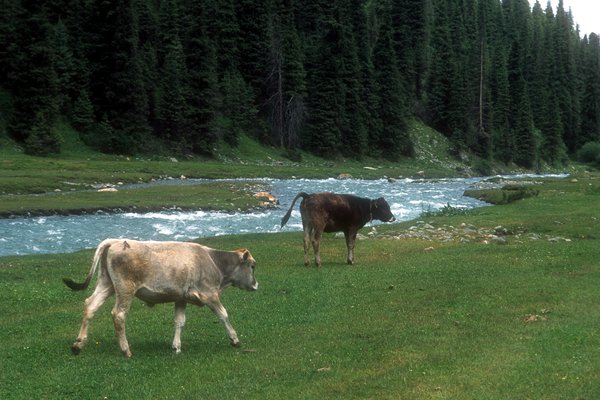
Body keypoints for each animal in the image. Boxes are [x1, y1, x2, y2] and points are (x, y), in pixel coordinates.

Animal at [63, 239, 258, 358]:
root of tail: (115, 241)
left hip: (106, 283)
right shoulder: (209, 294)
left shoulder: (181, 298)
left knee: (90, 306)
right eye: (253, 265)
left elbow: (179, 321)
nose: (256, 285)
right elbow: (223, 314)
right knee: (118, 314)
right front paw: (234, 339)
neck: (213, 261)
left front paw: (176, 346)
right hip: (125, 289)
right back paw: (126, 350)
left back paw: (78, 345)